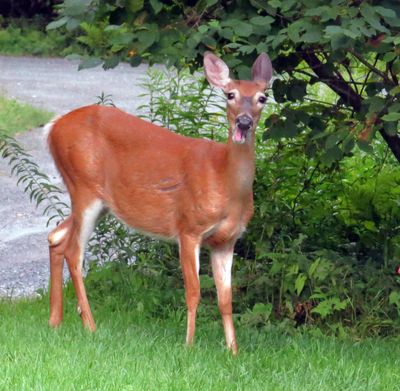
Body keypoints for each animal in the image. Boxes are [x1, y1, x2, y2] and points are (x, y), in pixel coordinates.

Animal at [45, 52, 274, 356]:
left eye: (262, 97)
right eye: (230, 94)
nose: (244, 122)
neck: (224, 181)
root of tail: (52, 128)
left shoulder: (226, 241)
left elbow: (226, 299)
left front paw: (233, 351)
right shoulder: (188, 227)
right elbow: (193, 291)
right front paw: (188, 345)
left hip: (98, 200)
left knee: (56, 236)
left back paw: (55, 321)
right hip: (84, 186)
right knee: (73, 251)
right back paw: (90, 325)